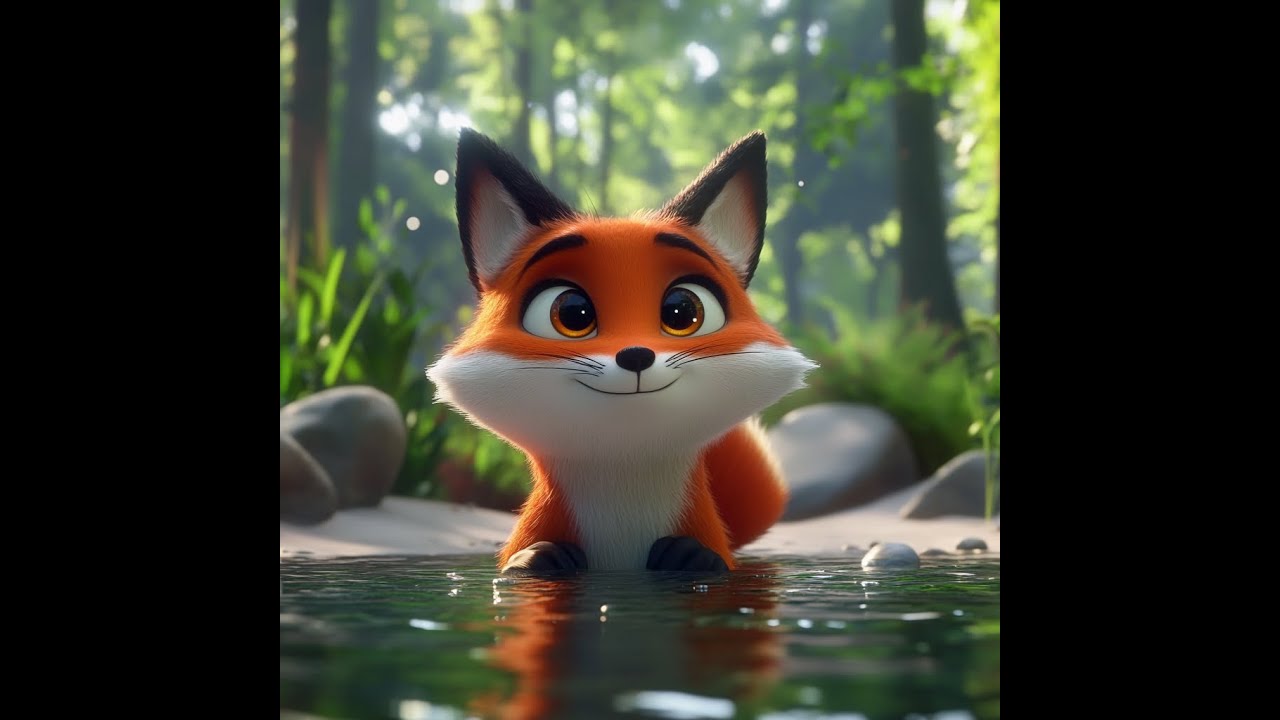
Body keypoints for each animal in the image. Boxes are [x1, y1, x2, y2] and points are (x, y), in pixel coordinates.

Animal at [426, 128, 817, 574]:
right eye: (572, 313)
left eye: (682, 311)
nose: (635, 355)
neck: (624, 470)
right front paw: (539, 558)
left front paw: (689, 556)